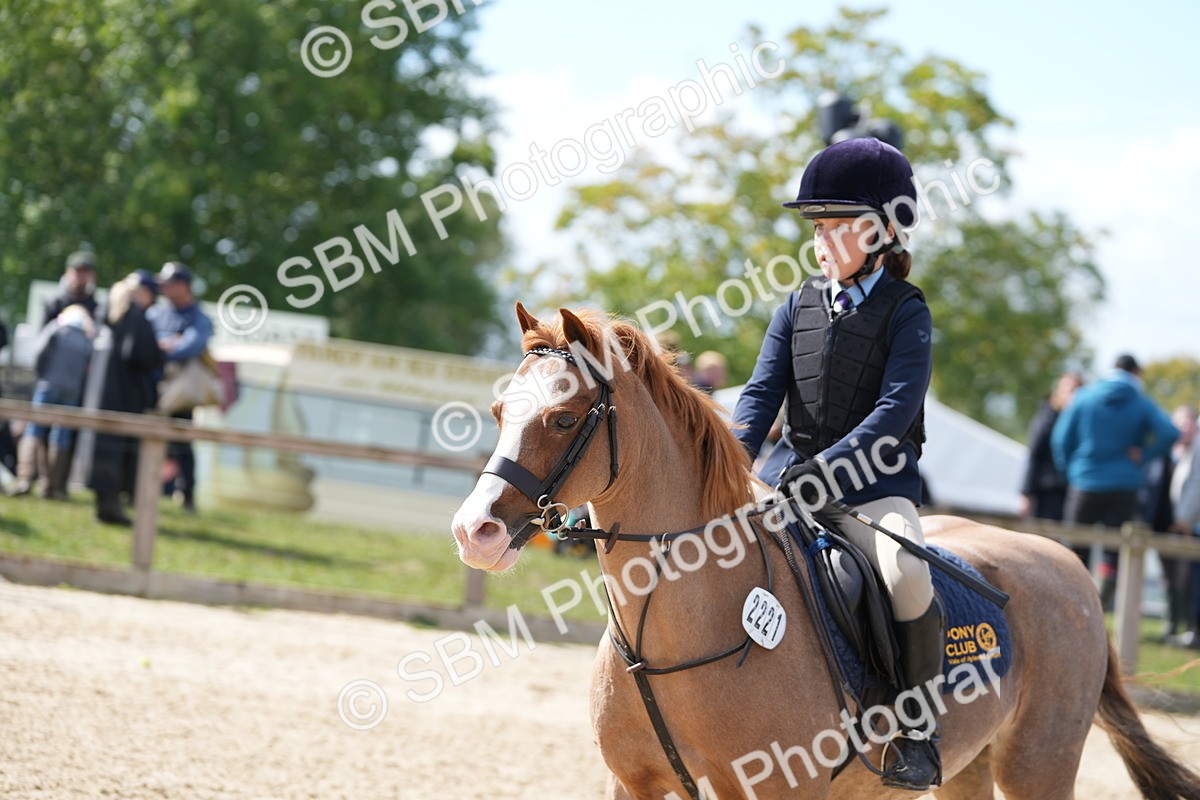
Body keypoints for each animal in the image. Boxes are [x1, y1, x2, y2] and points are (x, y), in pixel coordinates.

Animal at [452, 303, 1200, 800]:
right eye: (499, 413)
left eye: (563, 418)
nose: (473, 531)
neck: (675, 634)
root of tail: (1065, 563)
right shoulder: (632, 784)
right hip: (974, 767)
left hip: (1039, 766)